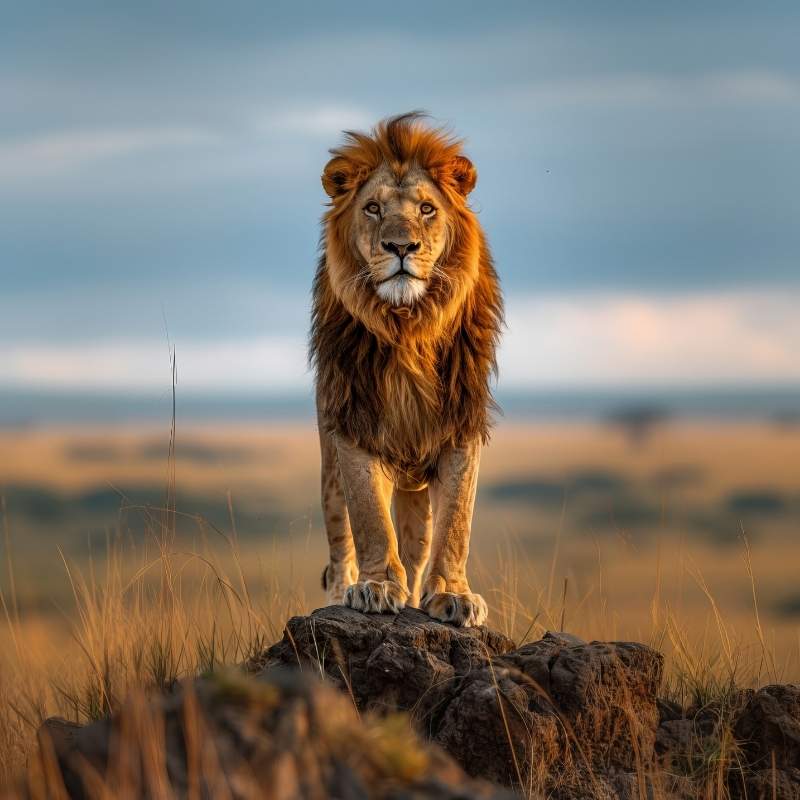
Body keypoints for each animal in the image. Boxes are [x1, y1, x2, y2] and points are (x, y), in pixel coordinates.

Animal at [310, 112, 503, 627]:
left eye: (427, 209)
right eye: (373, 208)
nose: (401, 246)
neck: (407, 326)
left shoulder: (460, 427)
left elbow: (456, 523)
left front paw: (453, 595)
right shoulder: (353, 425)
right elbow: (370, 519)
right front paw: (376, 587)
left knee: (417, 547)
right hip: (328, 467)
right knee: (340, 543)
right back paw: (339, 591)